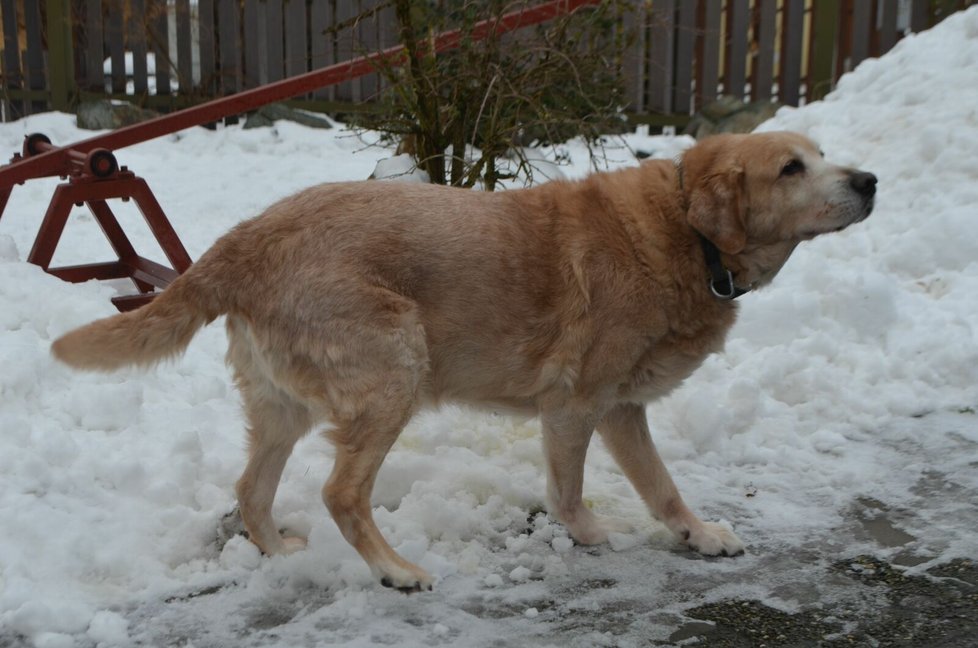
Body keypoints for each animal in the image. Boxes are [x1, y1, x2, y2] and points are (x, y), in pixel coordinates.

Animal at [51, 132, 876, 592]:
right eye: (792, 168)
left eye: (822, 155)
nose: (868, 179)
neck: (684, 231)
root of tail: (244, 239)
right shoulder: (578, 406)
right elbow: (571, 489)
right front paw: (587, 535)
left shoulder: (622, 410)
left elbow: (663, 486)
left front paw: (698, 535)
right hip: (394, 373)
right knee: (342, 493)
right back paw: (395, 571)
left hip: (283, 408)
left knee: (252, 489)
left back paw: (278, 551)